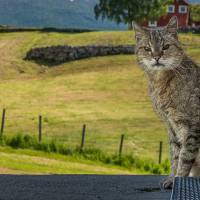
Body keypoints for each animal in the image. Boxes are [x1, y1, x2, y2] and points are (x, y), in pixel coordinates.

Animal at [132, 16, 200, 189]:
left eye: (166, 47)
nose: (156, 57)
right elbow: (174, 154)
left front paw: (179, 179)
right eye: (147, 48)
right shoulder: (171, 125)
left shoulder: (193, 125)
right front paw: (171, 179)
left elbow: (185, 157)